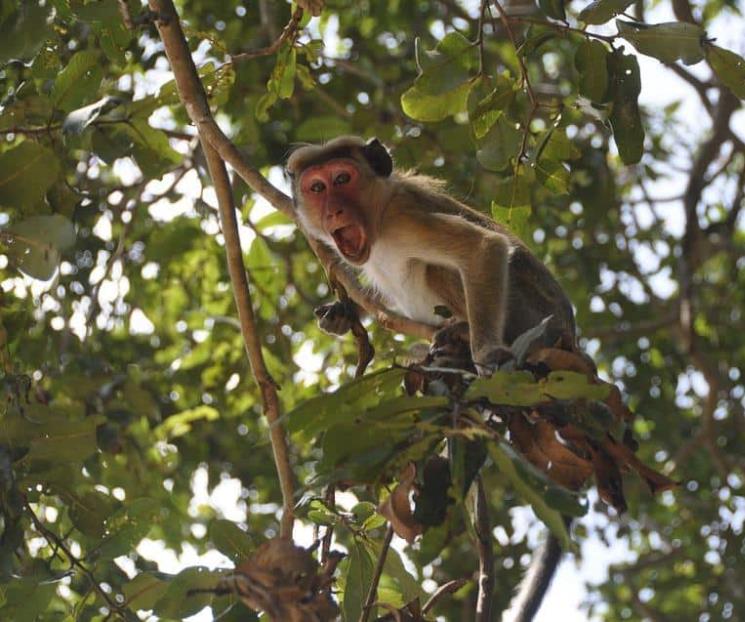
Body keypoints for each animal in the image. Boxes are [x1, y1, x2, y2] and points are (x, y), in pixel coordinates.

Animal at [287, 136, 577, 620]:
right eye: (317, 187)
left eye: (343, 178)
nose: (333, 211)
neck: (378, 217)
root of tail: (571, 339)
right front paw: (344, 313)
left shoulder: (406, 220)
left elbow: (483, 249)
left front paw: (487, 355)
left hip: (534, 321)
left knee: (441, 267)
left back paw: (462, 340)